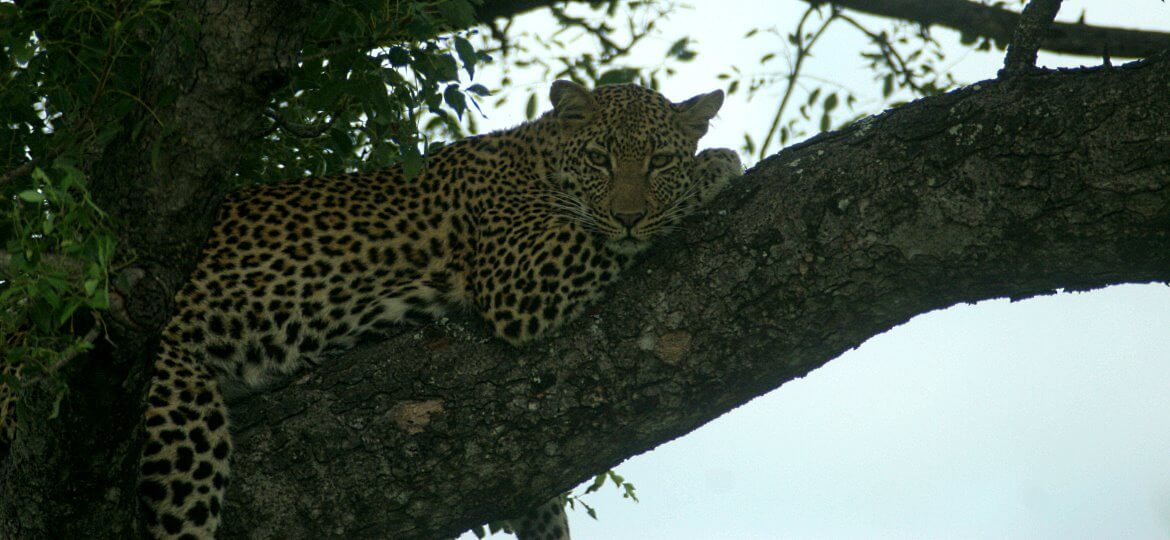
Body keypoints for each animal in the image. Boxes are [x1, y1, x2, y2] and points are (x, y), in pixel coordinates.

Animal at [9, 80, 742, 539]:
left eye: (659, 161)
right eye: (599, 158)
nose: (629, 216)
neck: (539, 158)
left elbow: (539, 507)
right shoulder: (518, 277)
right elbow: (608, 231)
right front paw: (721, 163)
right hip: (180, 407)